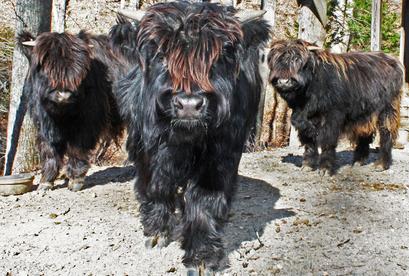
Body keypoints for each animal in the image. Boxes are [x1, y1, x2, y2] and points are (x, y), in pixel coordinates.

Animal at [5, 32, 122, 191]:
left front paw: (75, 180)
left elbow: (77, 148)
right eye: (46, 68)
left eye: (79, 71)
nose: (64, 95)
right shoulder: (44, 125)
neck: (60, 114)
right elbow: (49, 150)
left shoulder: (86, 123)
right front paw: (46, 181)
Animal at [118, 1, 270, 270]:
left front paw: (202, 254)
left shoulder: (221, 154)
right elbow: (156, 185)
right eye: (161, 54)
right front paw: (156, 231)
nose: (189, 105)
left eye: (220, 56)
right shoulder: (147, 149)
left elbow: (204, 199)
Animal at [268, 38, 402, 175]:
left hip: (388, 110)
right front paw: (308, 165)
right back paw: (358, 161)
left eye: (297, 60)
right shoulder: (302, 118)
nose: (283, 82)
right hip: (365, 113)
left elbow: (327, 142)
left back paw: (381, 164)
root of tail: (391, 59)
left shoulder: (332, 117)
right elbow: (309, 142)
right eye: (276, 60)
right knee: (365, 133)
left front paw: (325, 169)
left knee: (386, 134)